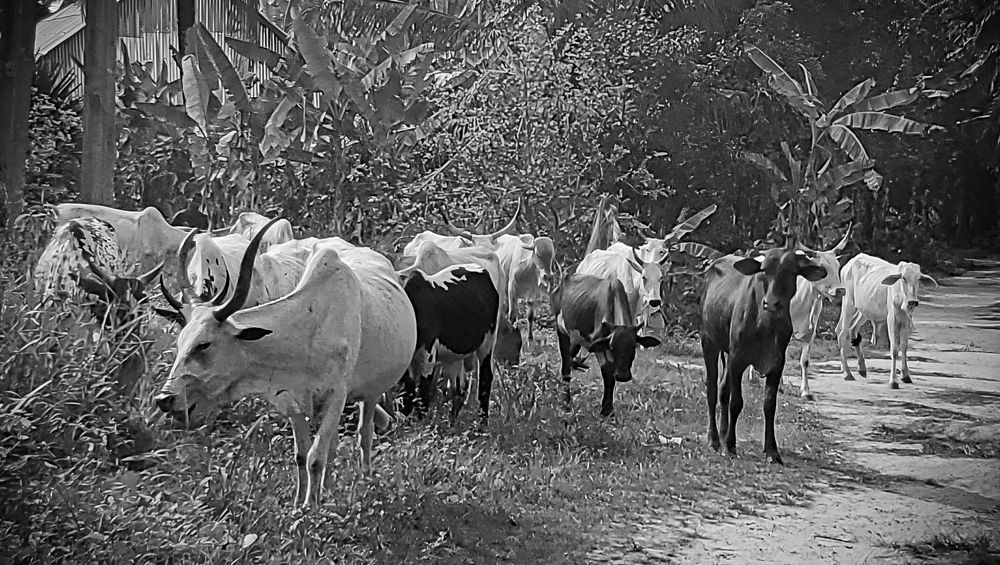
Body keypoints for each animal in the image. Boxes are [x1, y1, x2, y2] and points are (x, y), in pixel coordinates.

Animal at [153, 220, 417, 507]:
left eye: (204, 345)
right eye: (180, 342)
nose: (164, 399)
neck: (306, 329)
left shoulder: (337, 396)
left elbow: (315, 458)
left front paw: (311, 507)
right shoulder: (290, 399)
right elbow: (303, 456)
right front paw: (300, 504)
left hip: (371, 393)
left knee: (364, 434)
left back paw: (366, 481)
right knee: (334, 445)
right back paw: (329, 489)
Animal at [552, 273, 661, 416]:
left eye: (633, 347)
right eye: (612, 347)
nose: (623, 376)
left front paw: (608, 410)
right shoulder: (599, 345)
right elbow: (608, 371)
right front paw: (606, 410)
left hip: (576, 338)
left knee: (570, 359)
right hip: (562, 331)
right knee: (565, 365)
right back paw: (565, 401)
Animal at [700, 245, 827, 464]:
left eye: (790, 272)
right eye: (765, 270)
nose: (771, 303)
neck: (765, 323)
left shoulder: (777, 363)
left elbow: (769, 405)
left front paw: (772, 451)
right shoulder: (738, 359)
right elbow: (736, 402)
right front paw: (730, 446)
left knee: (723, 390)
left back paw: (723, 433)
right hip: (708, 342)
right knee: (712, 390)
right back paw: (715, 439)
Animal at [836, 253, 938, 388]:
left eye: (918, 279)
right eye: (903, 278)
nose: (912, 302)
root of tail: (851, 262)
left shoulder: (906, 321)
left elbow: (904, 348)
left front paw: (906, 376)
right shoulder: (892, 320)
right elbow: (894, 350)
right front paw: (893, 381)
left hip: (865, 310)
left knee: (853, 329)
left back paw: (861, 368)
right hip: (848, 303)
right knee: (842, 334)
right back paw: (847, 373)